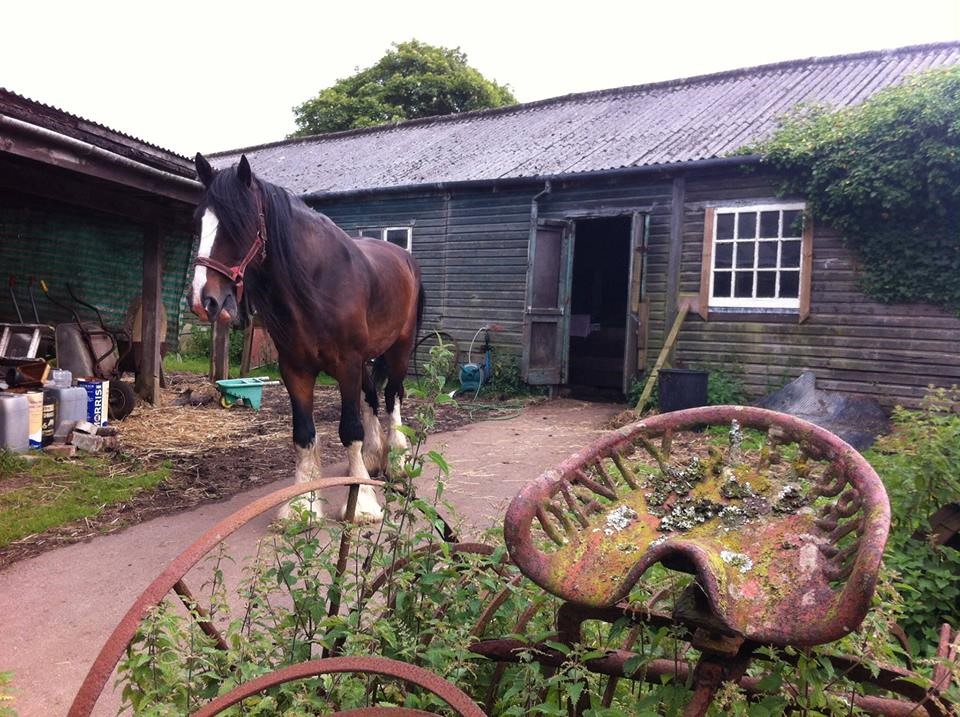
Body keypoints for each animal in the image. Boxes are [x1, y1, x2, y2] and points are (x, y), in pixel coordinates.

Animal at [188, 153, 423, 523]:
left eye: (237, 223)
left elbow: (349, 430)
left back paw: (397, 461)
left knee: (392, 397)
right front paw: (303, 504)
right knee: (372, 396)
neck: (318, 283)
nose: (203, 300)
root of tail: (405, 258)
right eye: (199, 221)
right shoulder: (295, 369)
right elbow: (303, 434)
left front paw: (362, 503)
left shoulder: (346, 363)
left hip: (399, 348)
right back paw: (374, 459)